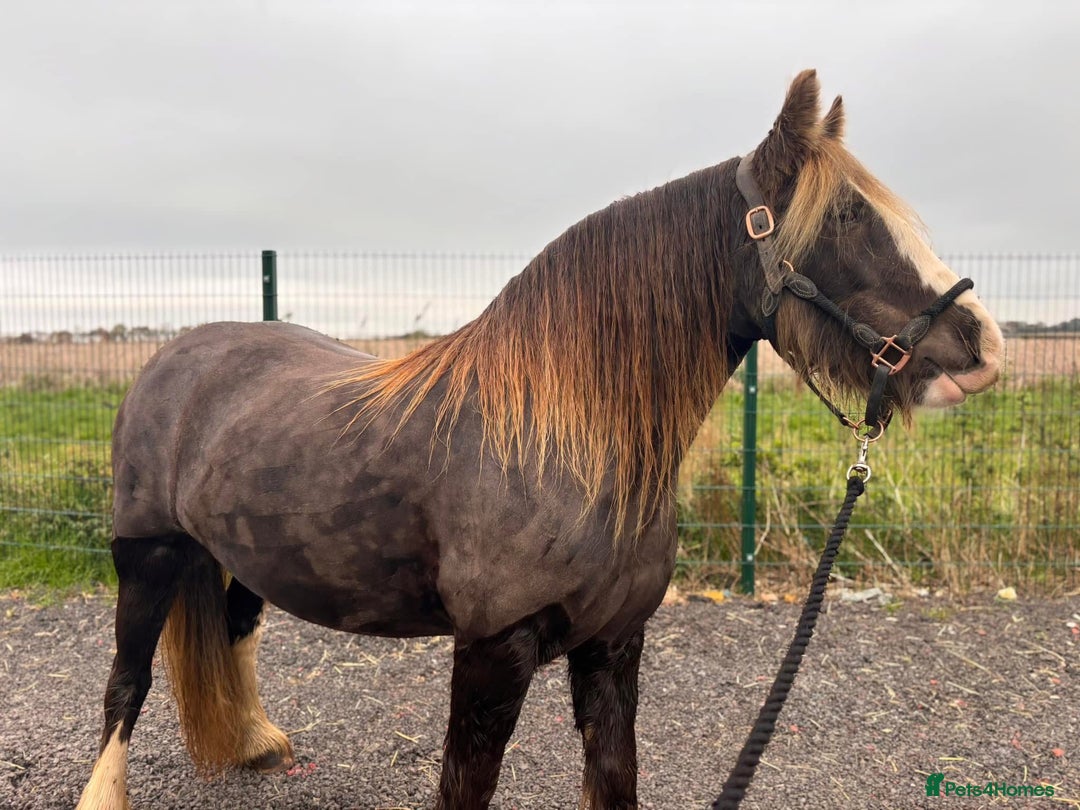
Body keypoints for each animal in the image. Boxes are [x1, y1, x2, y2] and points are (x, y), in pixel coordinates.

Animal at [76, 69, 1003, 810]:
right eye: (844, 215)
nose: (982, 346)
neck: (562, 448)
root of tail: (175, 356)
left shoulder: (614, 645)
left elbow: (614, 780)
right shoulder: (493, 652)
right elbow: (465, 789)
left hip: (239, 557)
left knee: (232, 634)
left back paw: (256, 744)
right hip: (147, 555)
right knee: (125, 686)